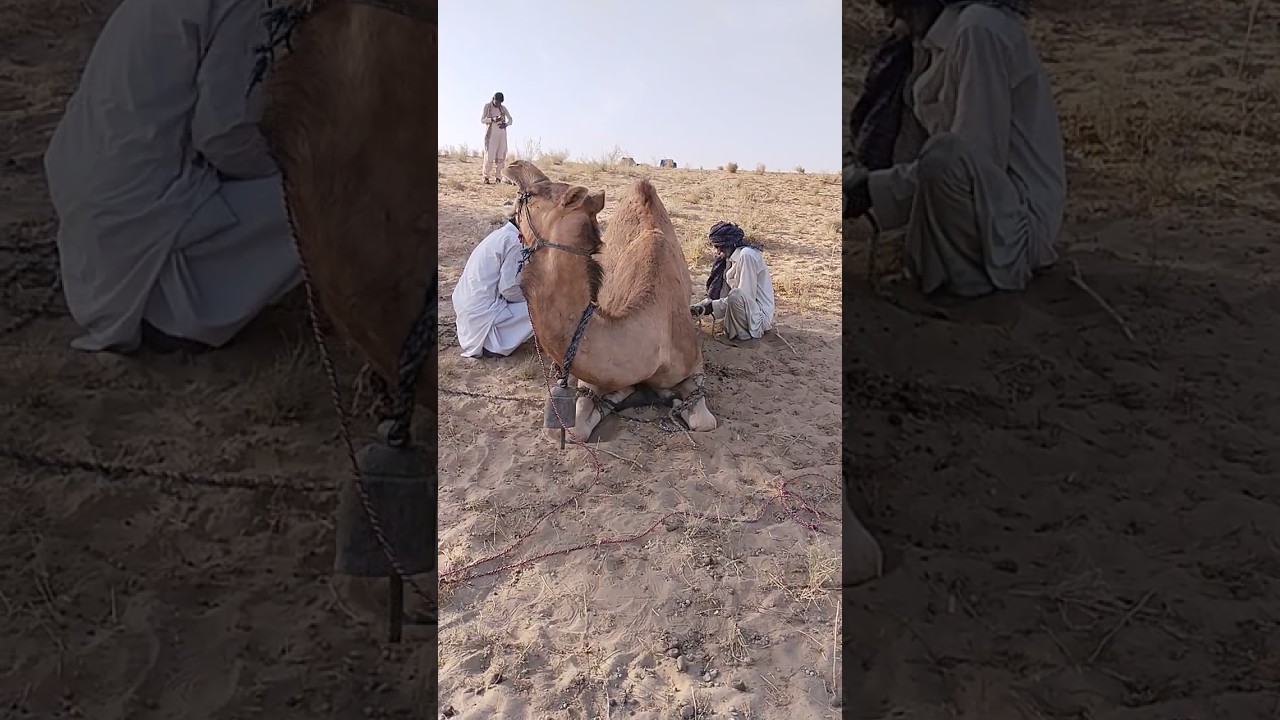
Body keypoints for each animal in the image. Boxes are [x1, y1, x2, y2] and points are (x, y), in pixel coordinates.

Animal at [502, 160, 716, 441]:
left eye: (537, 192)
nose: (514, 165)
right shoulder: (593, 374)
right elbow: (576, 428)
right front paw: (618, 396)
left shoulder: (694, 362)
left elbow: (704, 422)